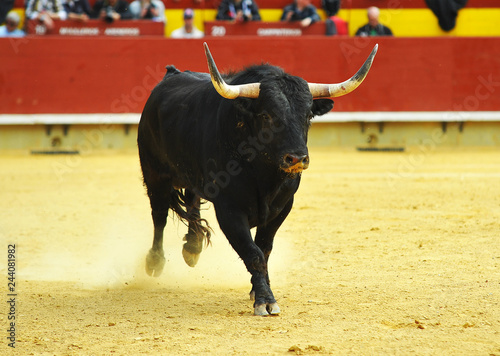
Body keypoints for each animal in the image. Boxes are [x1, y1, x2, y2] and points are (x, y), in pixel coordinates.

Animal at [137, 43, 376, 314]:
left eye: (308, 115)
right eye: (266, 115)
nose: (297, 158)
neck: (263, 174)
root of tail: (172, 75)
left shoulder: (282, 206)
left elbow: (264, 248)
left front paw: (257, 289)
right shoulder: (229, 210)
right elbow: (253, 252)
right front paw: (265, 299)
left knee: (192, 200)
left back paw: (192, 248)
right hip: (154, 173)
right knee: (159, 216)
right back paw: (155, 262)